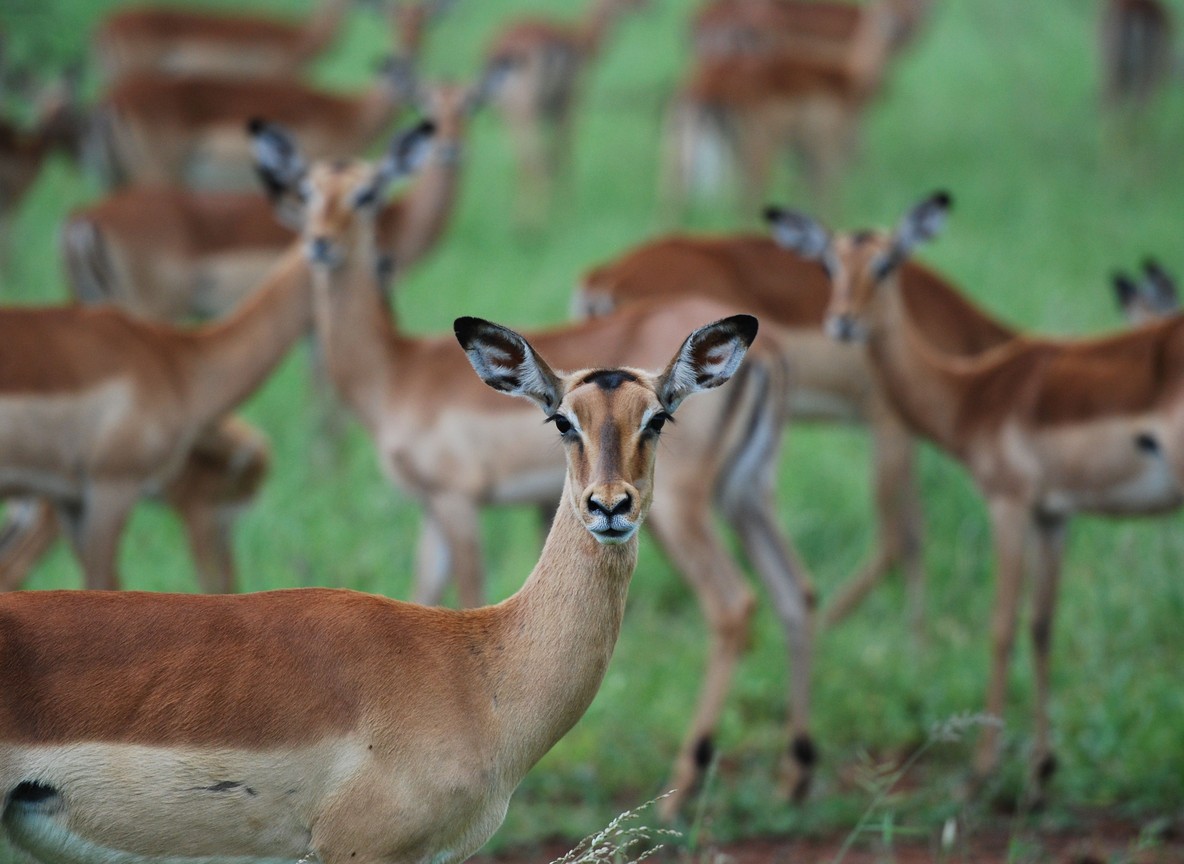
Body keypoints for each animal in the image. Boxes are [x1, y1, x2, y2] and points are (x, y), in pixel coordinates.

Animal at [255, 121, 818, 817]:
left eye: (366, 193)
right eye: (307, 192)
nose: (321, 245)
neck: (397, 371)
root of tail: (767, 355)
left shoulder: (458, 502)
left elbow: (465, 595)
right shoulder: (431, 512)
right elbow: (425, 594)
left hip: (686, 511)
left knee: (733, 604)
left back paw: (682, 787)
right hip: (748, 496)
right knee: (796, 591)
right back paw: (795, 774)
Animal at [484, 0, 644, 224]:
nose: (649, 7)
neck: (582, 39)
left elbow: (553, 155)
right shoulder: (570, 105)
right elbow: (564, 152)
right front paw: (569, 211)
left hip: (510, 113)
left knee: (525, 161)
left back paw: (520, 220)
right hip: (527, 110)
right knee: (538, 162)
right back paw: (539, 222)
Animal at [766, 191, 1184, 798]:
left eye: (886, 263)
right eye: (827, 265)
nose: (841, 321)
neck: (973, 393)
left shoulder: (1008, 504)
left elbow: (1001, 625)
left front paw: (983, 769)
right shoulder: (1053, 516)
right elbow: (1041, 627)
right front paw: (1040, 770)